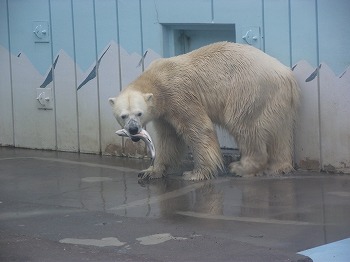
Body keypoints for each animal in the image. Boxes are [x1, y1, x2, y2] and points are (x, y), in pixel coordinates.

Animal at [108, 42, 300, 180]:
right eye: (123, 116)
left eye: (139, 113)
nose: (133, 129)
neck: (156, 79)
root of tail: (286, 74)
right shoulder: (163, 113)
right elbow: (168, 138)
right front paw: (150, 171)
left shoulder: (178, 95)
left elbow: (198, 129)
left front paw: (195, 173)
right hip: (276, 99)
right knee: (280, 133)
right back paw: (279, 167)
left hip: (248, 90)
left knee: (245, 125)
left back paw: (240, 167)